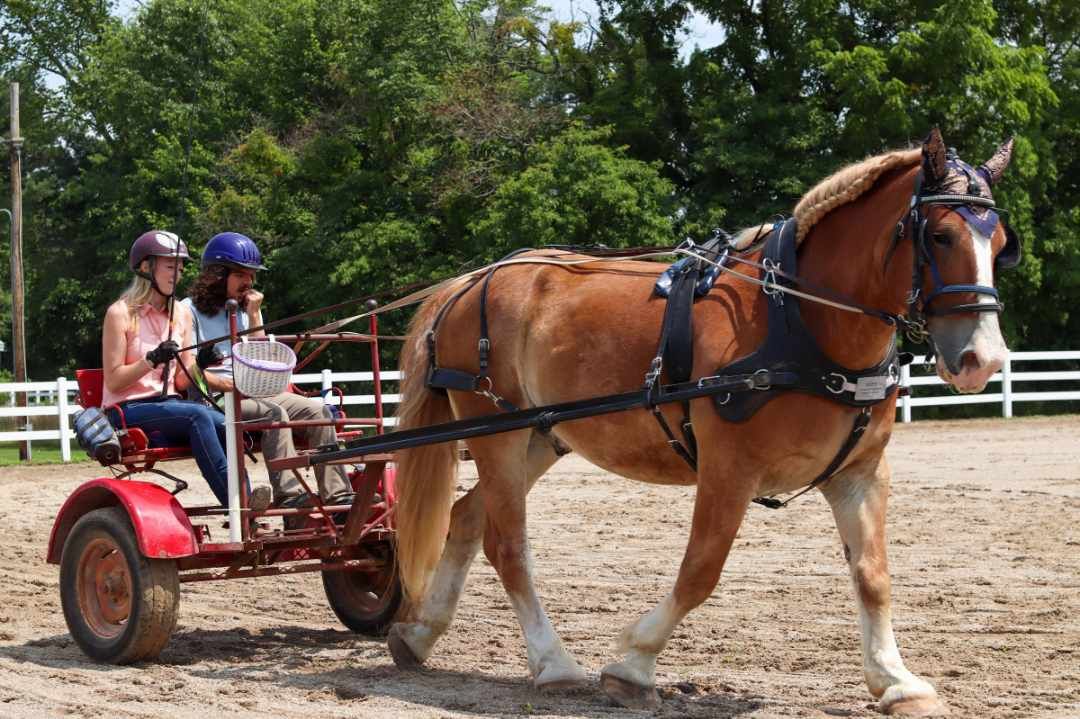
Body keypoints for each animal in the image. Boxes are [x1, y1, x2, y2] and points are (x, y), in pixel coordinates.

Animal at [384, 129, 1015, 712]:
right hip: (501, 435)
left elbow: (873, 576)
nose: (982, 360)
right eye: (940, 235)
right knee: (507, 545)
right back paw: (554, 662)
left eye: (1001, 244)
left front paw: (895, 681)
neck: (799, 318)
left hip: (539, 438)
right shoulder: (728, 471)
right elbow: (700, 572)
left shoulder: (859, 475)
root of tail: (471, 281)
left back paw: (418, 635)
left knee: (466, 520)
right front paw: (632, 666)